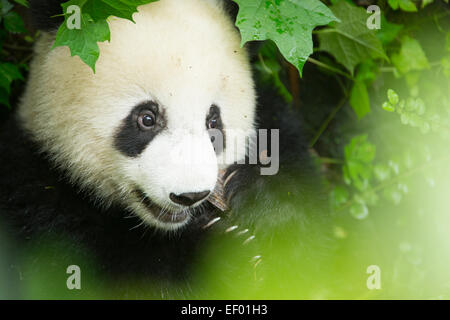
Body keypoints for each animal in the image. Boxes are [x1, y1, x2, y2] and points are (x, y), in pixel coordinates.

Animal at [0, 0, 330, 298]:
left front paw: (261, 203)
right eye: (146, 118)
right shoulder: (32, 191)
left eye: (213, 121)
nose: (190, 196)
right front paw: (215, 255)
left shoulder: (279, 126)